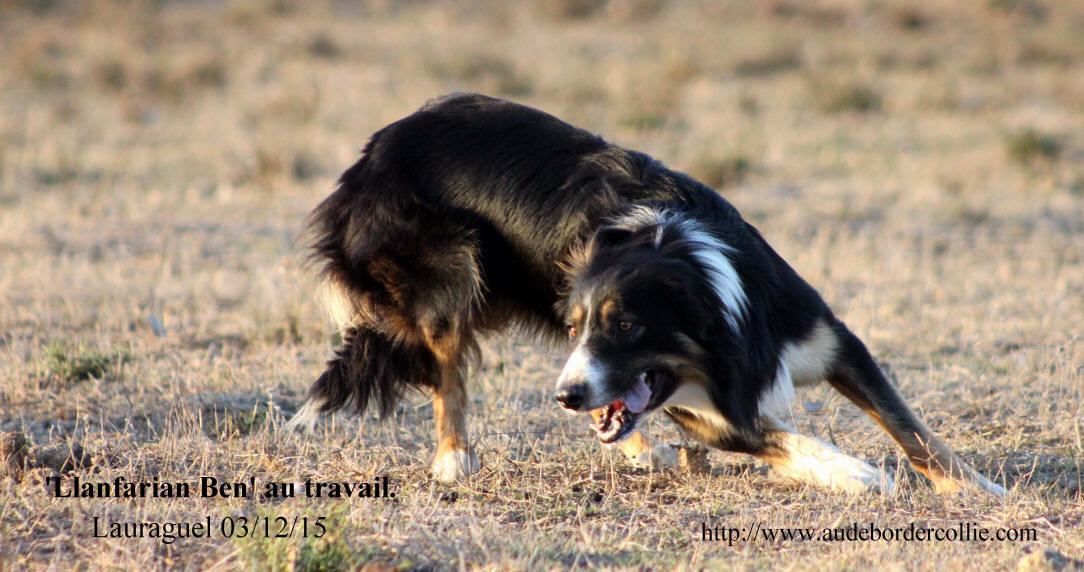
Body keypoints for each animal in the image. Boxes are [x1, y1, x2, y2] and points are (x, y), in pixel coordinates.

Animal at [286, 91, 1005, 494]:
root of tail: (367, 155)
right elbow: (777, 437)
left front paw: (978, 489)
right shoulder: (700, 404)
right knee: (448, 372)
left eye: (626, 325)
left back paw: (634, 449)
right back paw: (454, 460)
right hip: (449, 274)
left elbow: (911, 427)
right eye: (580, 325)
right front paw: (855, 474)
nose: (565, 395)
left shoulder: (829, 339)